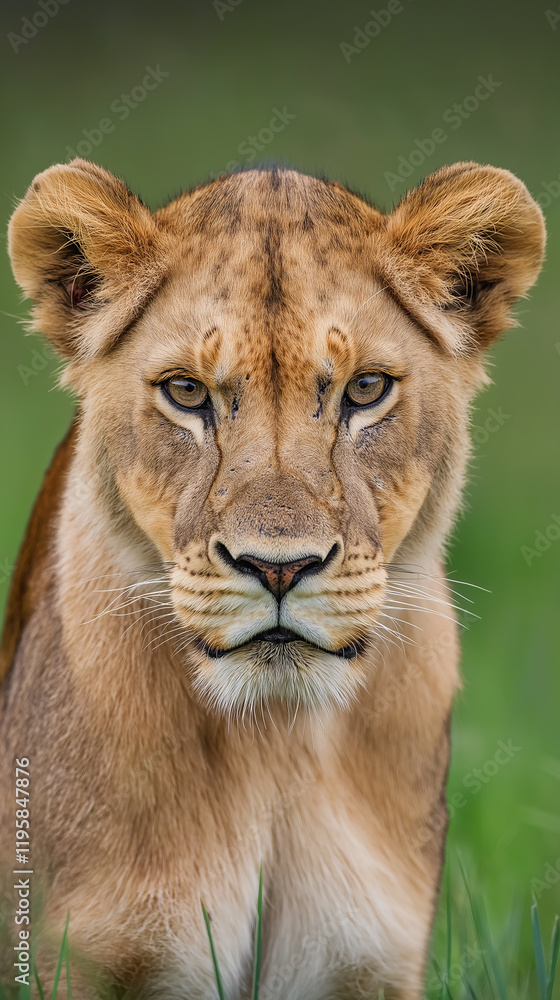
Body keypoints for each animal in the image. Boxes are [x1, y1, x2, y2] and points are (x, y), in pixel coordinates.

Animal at [0, 159, 545, 999]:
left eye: (365, 390)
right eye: (187, 393)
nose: (279, 567)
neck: (275, 743)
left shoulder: (370, 965)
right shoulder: (77, 958)